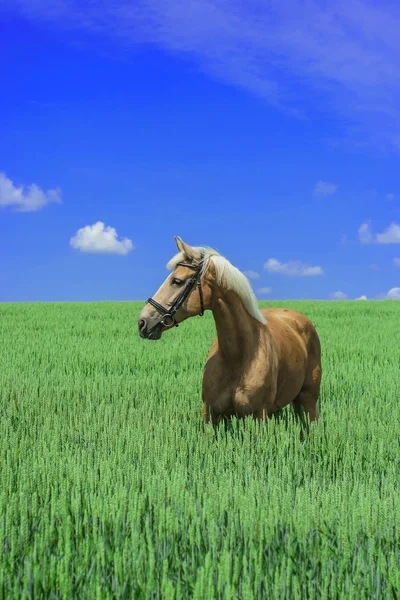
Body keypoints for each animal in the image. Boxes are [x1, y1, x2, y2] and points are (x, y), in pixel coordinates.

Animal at [138, 237, 322, 428]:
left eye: (177, 281)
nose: (142, 322)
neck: (237, 357)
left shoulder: (258, 416)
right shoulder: (211, 415)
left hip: (308, 399)